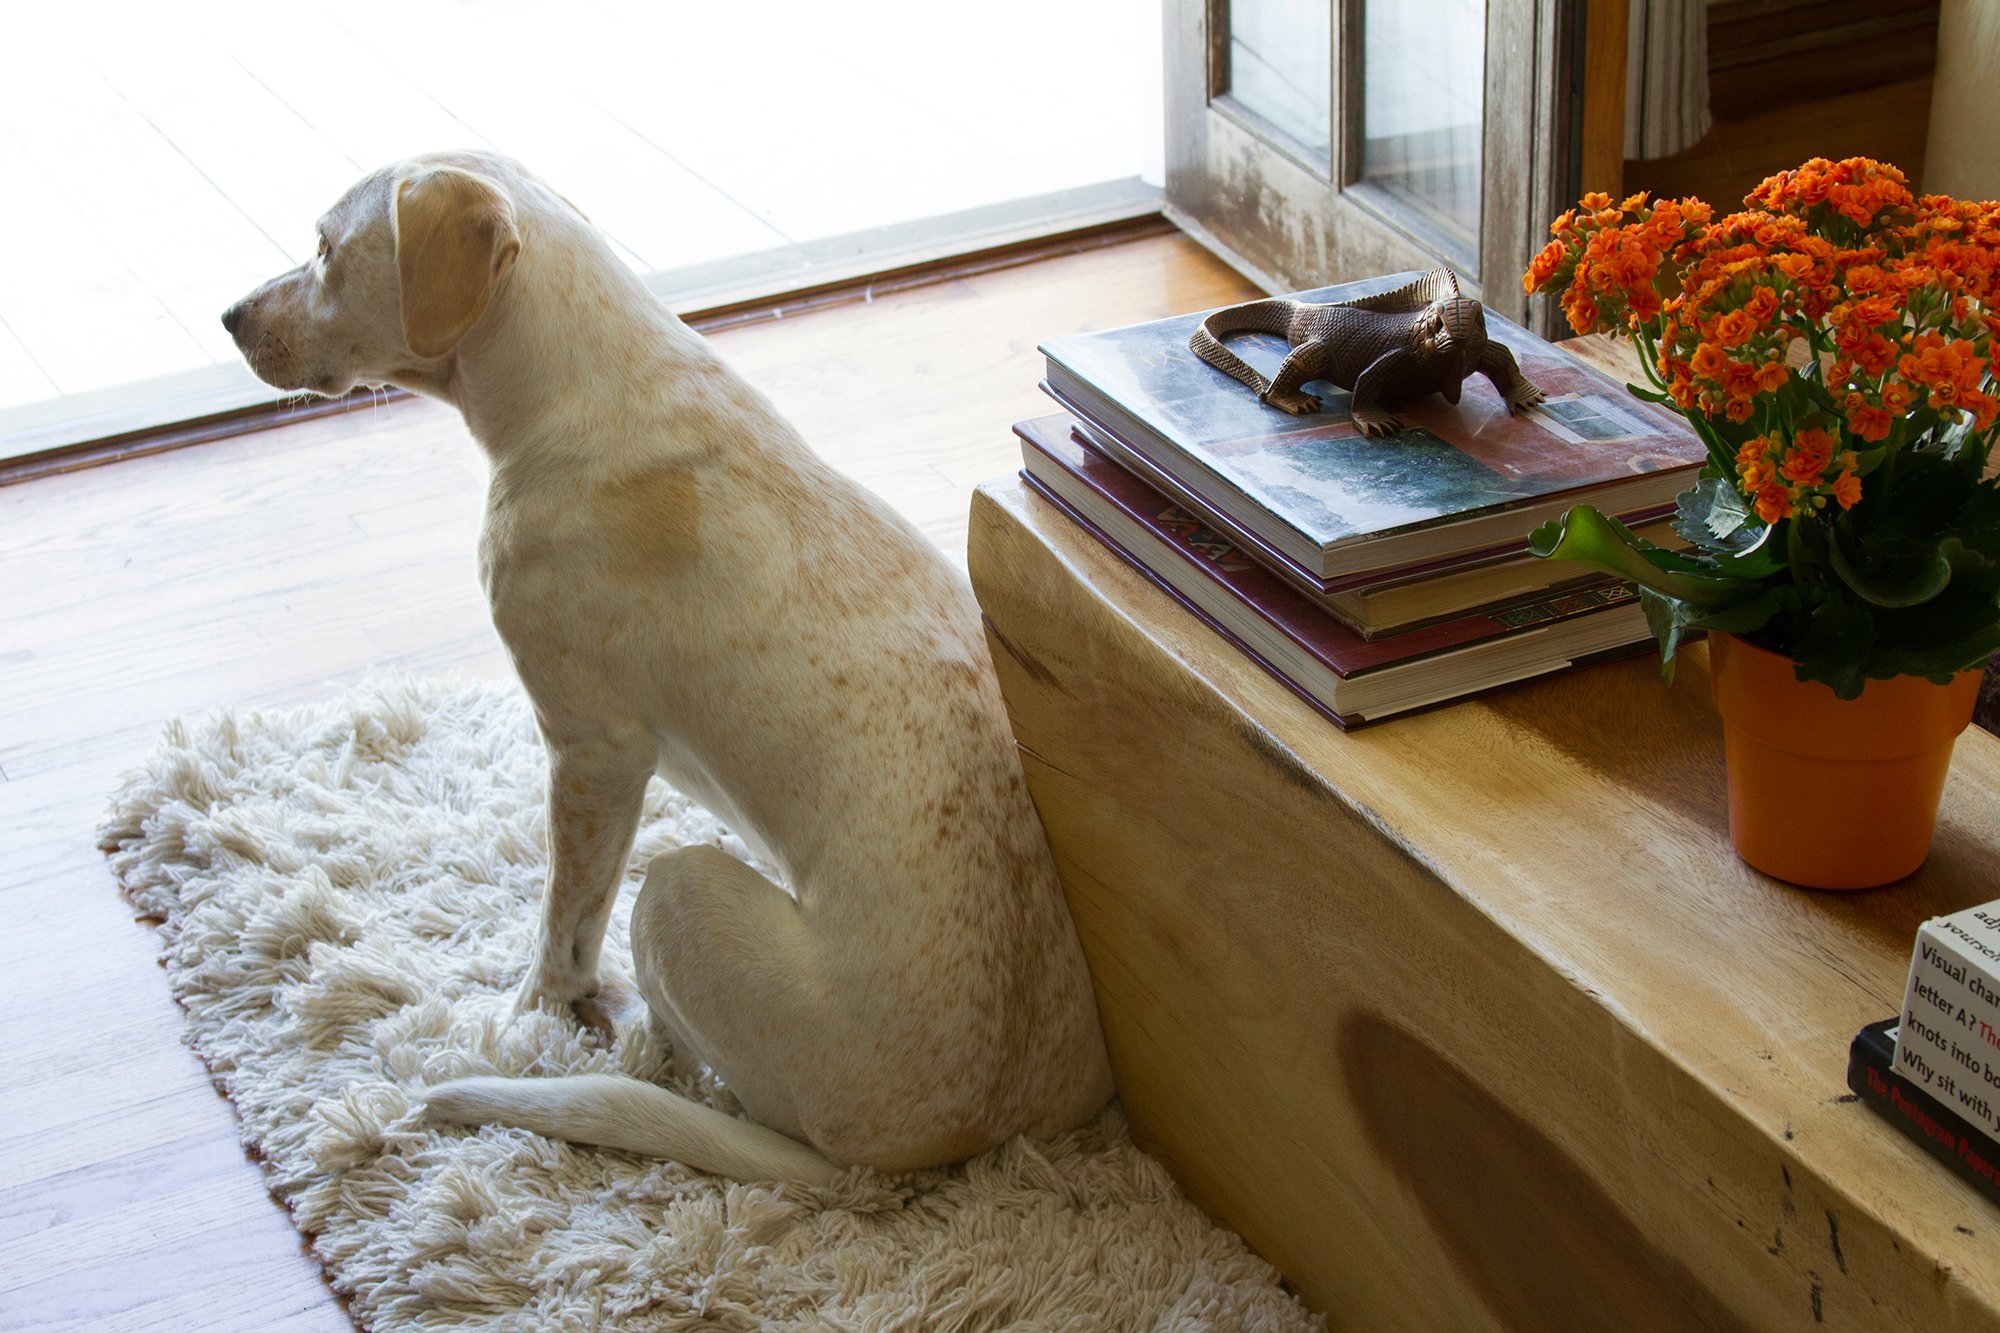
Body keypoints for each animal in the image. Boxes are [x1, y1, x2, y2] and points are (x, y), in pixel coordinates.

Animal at [230, 153, 1128, 1184]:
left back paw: (631, 1040)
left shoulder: (590, 752)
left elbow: (561, 922)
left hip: (674, 888)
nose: (228, 316)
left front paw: (526, 1018)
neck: (581, 381)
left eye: (325, 247)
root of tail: (956, 1147)